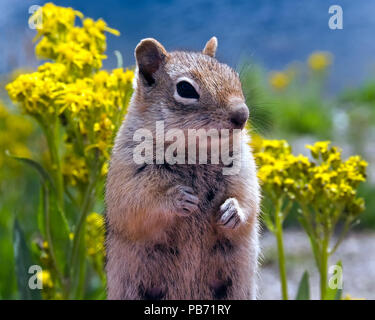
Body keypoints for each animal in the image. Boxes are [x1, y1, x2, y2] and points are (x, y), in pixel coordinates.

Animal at [104, 36, 260, 298]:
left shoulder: (243, 170)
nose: (242, 115)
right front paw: (178, 198)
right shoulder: (127, 176)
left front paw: (233, 211)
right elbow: (137, 205)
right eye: (186, 89)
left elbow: (248, 199)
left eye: (233, 76)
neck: (195, 151)